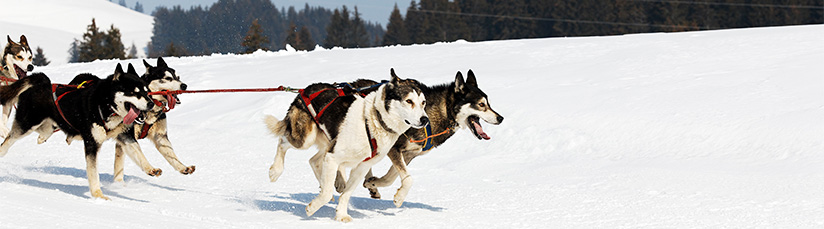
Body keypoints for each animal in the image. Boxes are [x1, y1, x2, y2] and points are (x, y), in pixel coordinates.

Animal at [0, 63, 154, 199]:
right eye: (134, 92)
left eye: (146, 91)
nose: (151, 103)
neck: (105, 105)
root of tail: (41, 83)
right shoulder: (92, 143)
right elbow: (93, 172)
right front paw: (98, 195)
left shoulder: (124, 136)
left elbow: (138, 152)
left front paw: (151, 168)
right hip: (27, 124)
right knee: (9, 138)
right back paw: (2, 151)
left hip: (48, 124)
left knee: (43, 132)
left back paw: (42, 138)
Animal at [266, 69, 432, 222]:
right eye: (409, 101)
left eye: (423, 102)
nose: (425, 119)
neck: (373, 121)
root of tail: (306, 89)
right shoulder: (333, 157)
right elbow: (327, 193)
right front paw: (312, 208)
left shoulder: (361, 166)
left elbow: (346, 193)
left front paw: (341, 215)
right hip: (305, 139)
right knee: (283, 142)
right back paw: (275, 171)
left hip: (328, 143)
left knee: (313, 160)